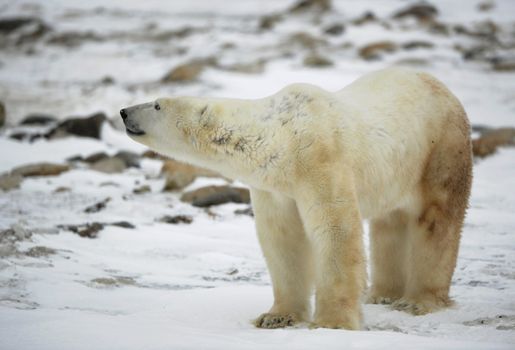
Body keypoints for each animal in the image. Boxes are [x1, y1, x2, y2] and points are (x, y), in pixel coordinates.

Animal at [120, 67, 472, 330]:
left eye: (157, 104)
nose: (124, 111)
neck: (283, 138)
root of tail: (441, 86)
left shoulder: (321, 160)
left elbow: (335, 232)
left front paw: (332, 323)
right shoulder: (275, 187)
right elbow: (283, 240)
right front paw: (275, 317)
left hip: (440, 150)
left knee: (437, 221)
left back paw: (418, 300)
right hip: (396, 170)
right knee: (390, 224)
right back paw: (382, 295)